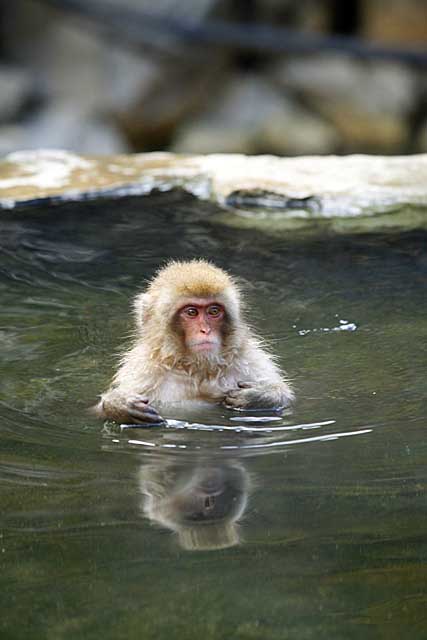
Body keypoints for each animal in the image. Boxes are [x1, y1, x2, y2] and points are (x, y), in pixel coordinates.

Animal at [95, 258, 294, 422]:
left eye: (214, 311)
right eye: (191, 312)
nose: (205, 330)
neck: (197, 369)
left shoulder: (249, 359)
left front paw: (262, 396)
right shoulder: (141, 370)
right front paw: (118, 404)